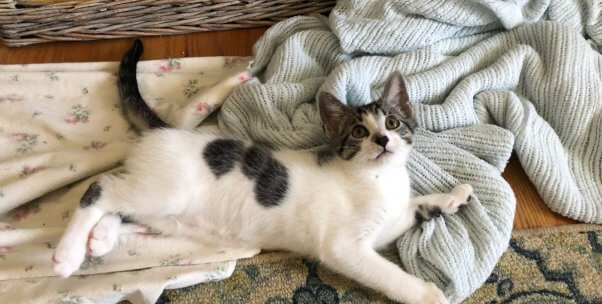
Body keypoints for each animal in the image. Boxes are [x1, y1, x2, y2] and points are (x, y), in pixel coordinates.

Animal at [52, 40, 474, 304]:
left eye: (393, 122)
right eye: (358, 132)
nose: (384, 140)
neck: (378, 180)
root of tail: (165, 130)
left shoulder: (391, 222)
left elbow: (416, 207)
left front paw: (452, 196)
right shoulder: (343, 248)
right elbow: (389, 275)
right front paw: (430, 293)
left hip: (164, 212)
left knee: (122, 208)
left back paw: (100, 239)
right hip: (165, 191)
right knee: (100, 187)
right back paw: (68, 254)